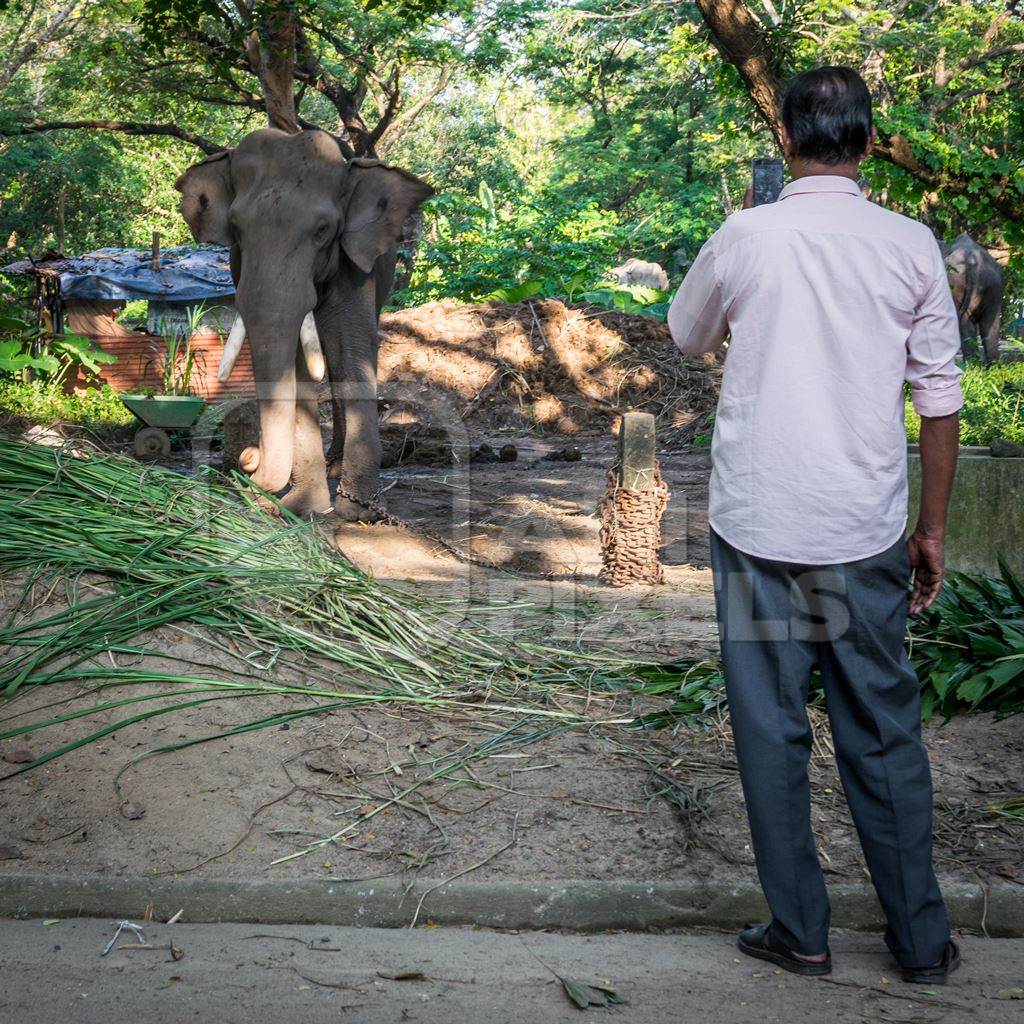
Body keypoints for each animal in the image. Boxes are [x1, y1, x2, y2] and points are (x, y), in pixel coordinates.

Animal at [176, 128, 432, 520]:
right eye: (236, 228)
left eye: (323, 230)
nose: (248, 460)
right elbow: (295, 361)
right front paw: (303, 508)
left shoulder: (355, 263)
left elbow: (351, 348)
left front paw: (359, 512)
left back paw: (337, 469)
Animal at [937, 232, 1003, 364]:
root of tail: (973, 262)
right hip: (994, 287)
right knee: (989, 326)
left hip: (956, 283)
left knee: (965, 323)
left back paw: (970, 366)